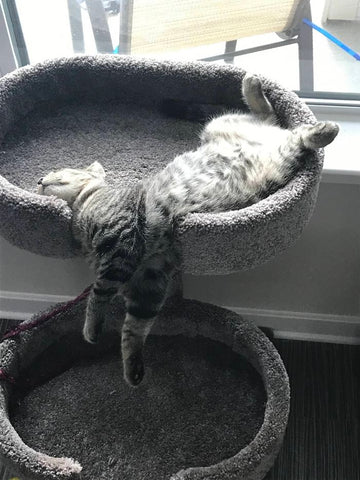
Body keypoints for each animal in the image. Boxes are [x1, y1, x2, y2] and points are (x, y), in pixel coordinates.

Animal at [36, 76, 338, 390]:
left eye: (59, 171)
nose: (39, 179)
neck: (85, 207)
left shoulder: (121, 246)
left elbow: (98, 293)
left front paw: (91, 329)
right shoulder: (148, 280)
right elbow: (134, 329)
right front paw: (133, 370)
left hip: (276, 151)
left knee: (298, 135)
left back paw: (323, 128)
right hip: (222, 125)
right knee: (271, 117)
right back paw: (254, 85)